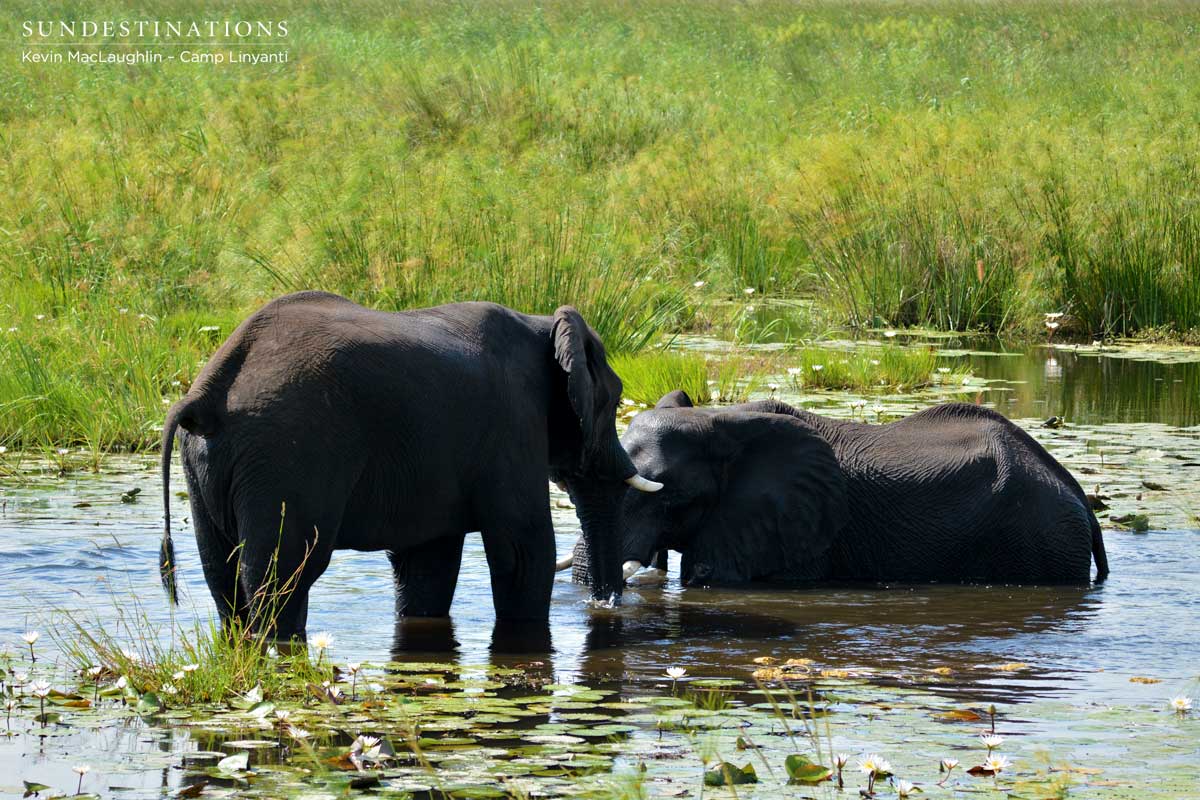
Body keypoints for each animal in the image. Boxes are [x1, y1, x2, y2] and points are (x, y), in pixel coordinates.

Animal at [157, 291, 667, 642]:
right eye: (615, 400)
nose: (604, 609)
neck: (541, 323)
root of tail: (208, 392)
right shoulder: (513, 423)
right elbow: (523, 548)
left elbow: (428, 561)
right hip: (286, 456)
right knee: (284, 576)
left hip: (209, 462)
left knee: (223, 576)